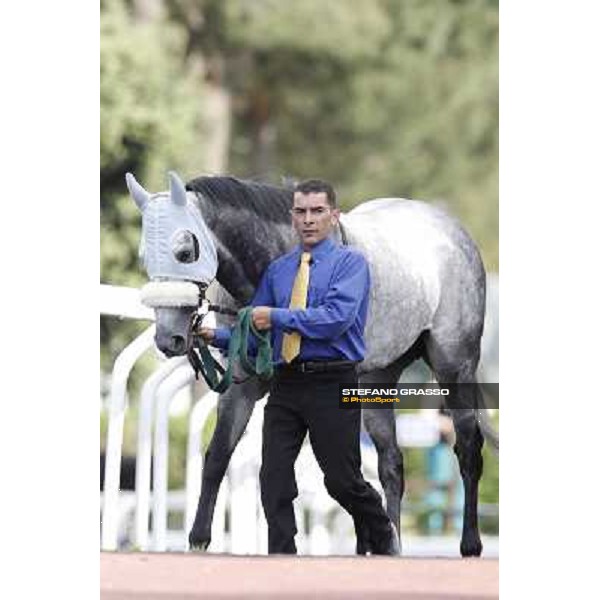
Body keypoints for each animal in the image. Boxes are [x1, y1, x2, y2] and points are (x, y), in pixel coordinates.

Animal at [125, 170, 496, 556]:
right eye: (144, 258)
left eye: (185, 251)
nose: (168, 338)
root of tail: (452, 230)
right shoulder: (242, 383)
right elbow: (218, 455)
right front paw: (198, 540)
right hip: (377, 379)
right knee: (391, 462)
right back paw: (389, 542)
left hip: (455, 365)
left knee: (468, 449)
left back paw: (469, 544)